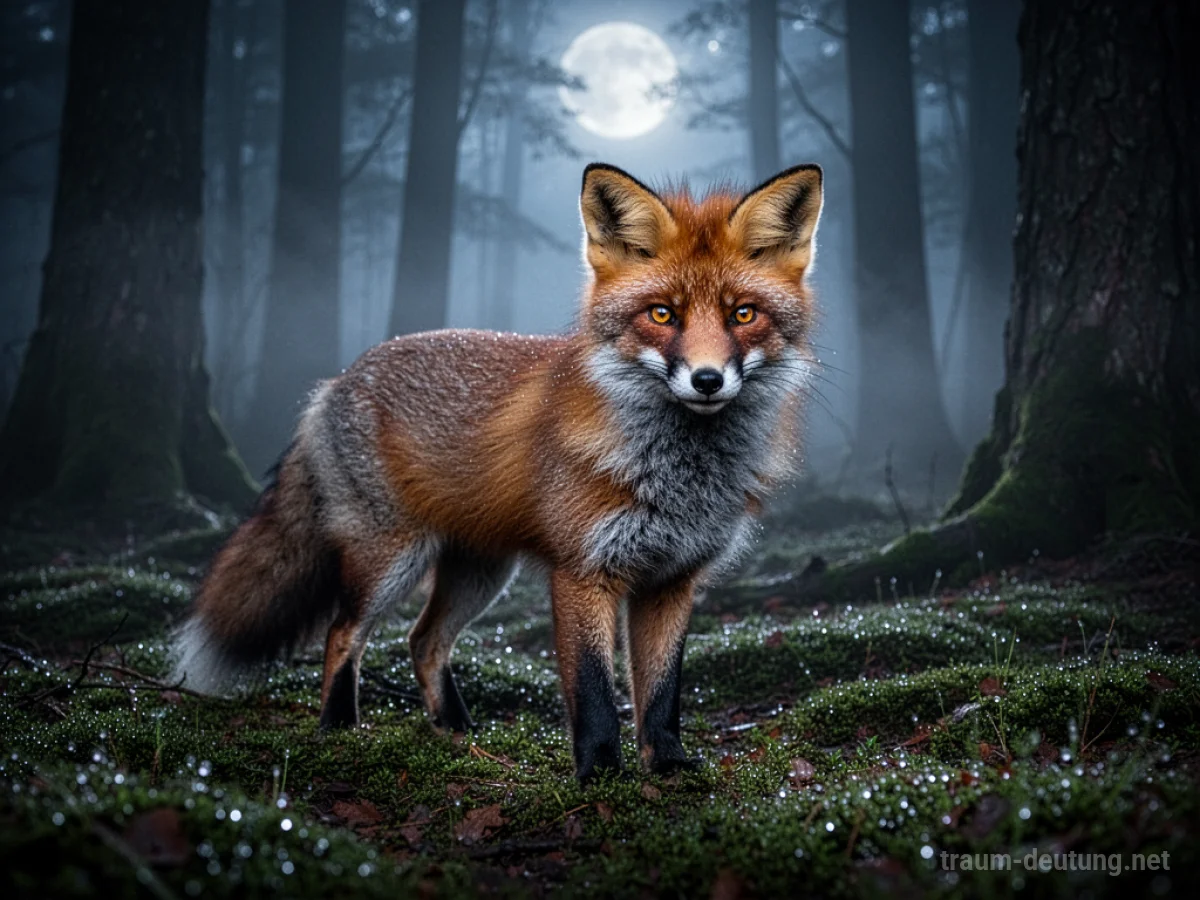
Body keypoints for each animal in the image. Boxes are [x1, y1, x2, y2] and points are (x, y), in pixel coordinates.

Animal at [170, 162, 824, 782]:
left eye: (743, 314)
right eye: (662, 314)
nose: (707, 380)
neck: (679, 476)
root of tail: (336, 382)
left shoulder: (672, 581)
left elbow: (661, 694)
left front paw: (666, 766)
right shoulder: (582, 572)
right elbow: (593, 691)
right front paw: (599, 775)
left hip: (482, 573)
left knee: (423, 641)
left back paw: (457, 732)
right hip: (390, 560)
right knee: (343, 632)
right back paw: (339, 728)